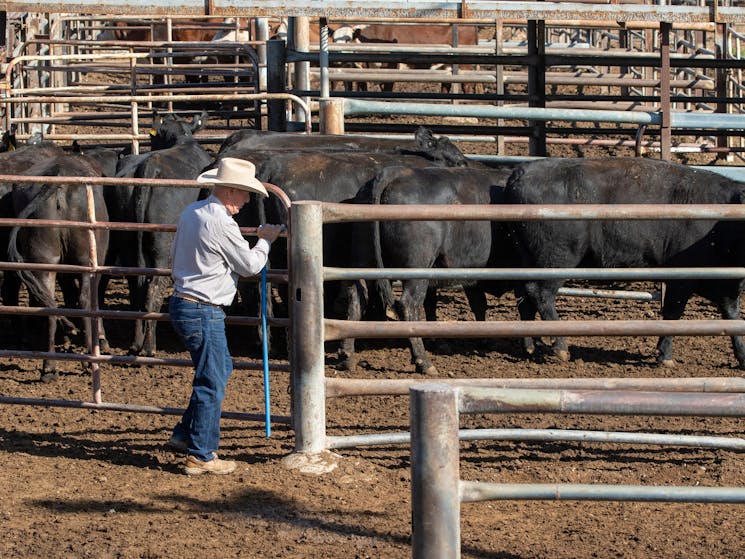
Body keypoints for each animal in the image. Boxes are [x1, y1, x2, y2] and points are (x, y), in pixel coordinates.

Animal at [6, 153, 108, 380]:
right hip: (87, 259)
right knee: (85, 299)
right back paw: (88, 358)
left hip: (45, 259)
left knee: (49, 302)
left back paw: (49, 366)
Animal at [508, 156, 745, 368]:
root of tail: (522, 171)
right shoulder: (681, 278)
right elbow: (673, 313)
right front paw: (665, 356)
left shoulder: (727, 285)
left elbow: (733, 317)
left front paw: (742, 357)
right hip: (558, 258)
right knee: (541, 293)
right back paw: (560, 347)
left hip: (527, 258)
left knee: (524, 293)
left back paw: (532, 345)